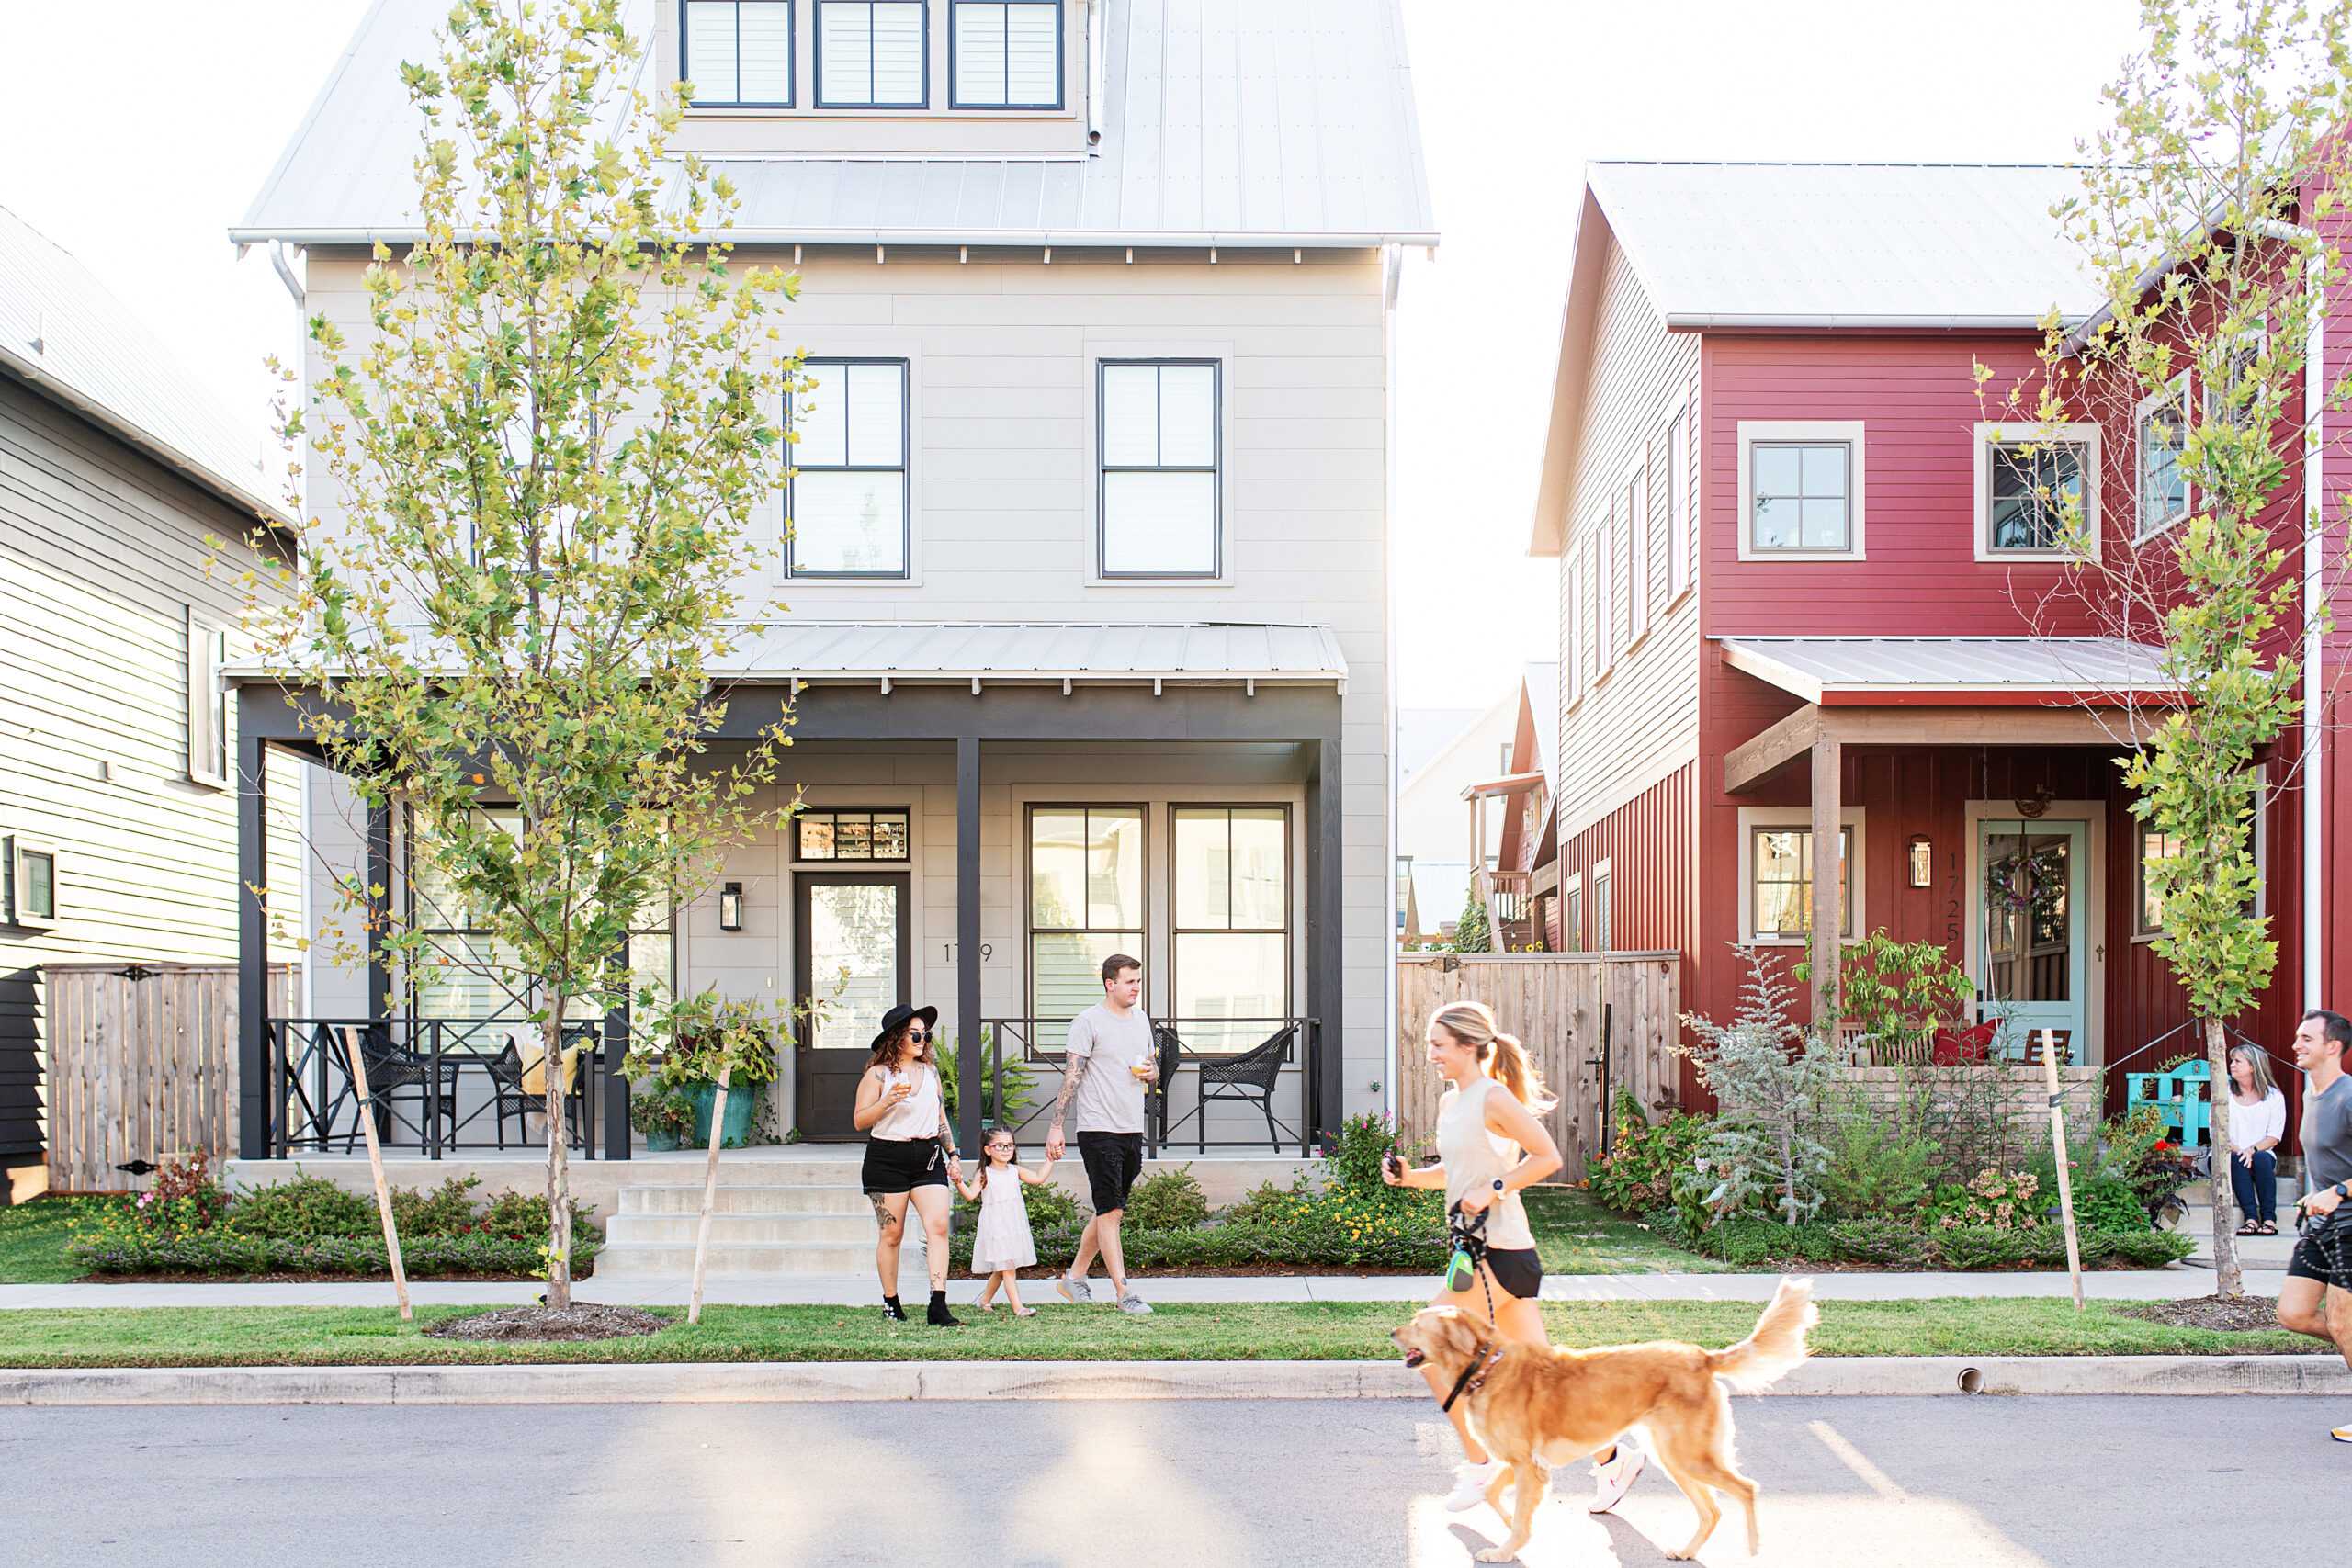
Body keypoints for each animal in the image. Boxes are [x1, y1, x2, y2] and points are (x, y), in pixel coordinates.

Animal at [1392, 1279, 1815, 1561]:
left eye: (1417, 1322)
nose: (1393, 1331)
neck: (1486, 1365)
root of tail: (1703, 1356)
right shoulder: (1524, 1463)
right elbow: (1496, 1495)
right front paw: (1509, 1525)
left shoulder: (1529, 1466)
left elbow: (1512, 1509)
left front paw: (1504, 1550)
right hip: (1674, 1459)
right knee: (1711, 1510)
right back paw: (1685, 1550)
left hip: (1691, 1456)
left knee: (1746, 1489)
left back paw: (1753, 1548)